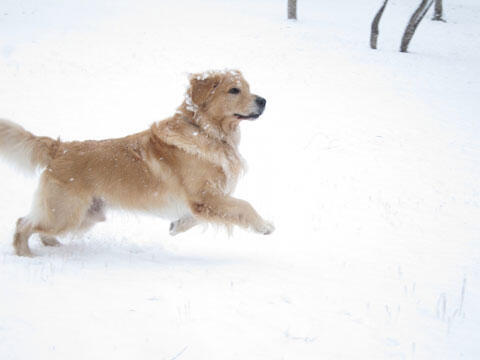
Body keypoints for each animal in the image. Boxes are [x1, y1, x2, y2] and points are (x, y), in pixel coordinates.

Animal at [0, 70, 274, 256]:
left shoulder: (204, 202)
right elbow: (244, 205)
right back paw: (26, 254)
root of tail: (60, 147)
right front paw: (264, 225)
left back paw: (53, 245)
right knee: (23, 224)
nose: (263, 100)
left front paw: (177, 225)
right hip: (65, 213)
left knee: (38, 227)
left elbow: (198, 217)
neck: (205, 131)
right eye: (234, 90)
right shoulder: (204, 196)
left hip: (83, 216)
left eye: (248, 87)